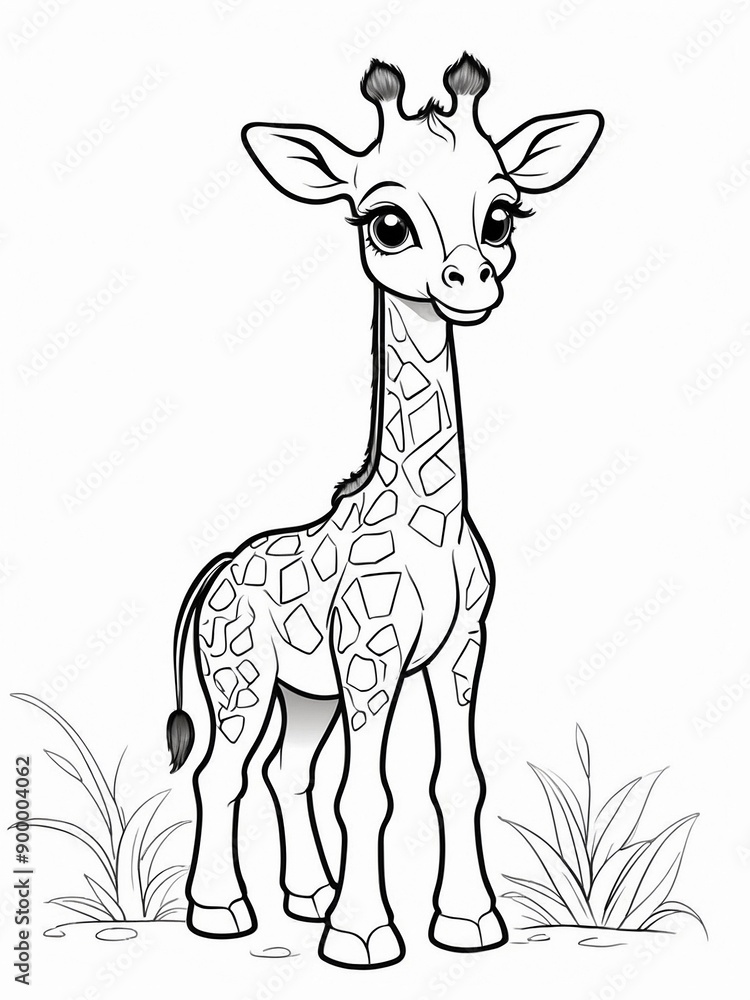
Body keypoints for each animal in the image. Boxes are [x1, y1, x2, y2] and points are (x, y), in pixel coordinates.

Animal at [167, 53, 603, 969]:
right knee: (221, 773)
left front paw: (468, 923)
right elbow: (367, 790)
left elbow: (457, 779)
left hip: (305, 694)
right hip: (239, 677)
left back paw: (305, 897)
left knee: (285, 770)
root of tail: (219, 568)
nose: (471, 282)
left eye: (502, 214)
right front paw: (364, 937)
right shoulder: (373, 651)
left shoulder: (460, 643)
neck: (427, 520)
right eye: (388, 223)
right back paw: (222, 913)